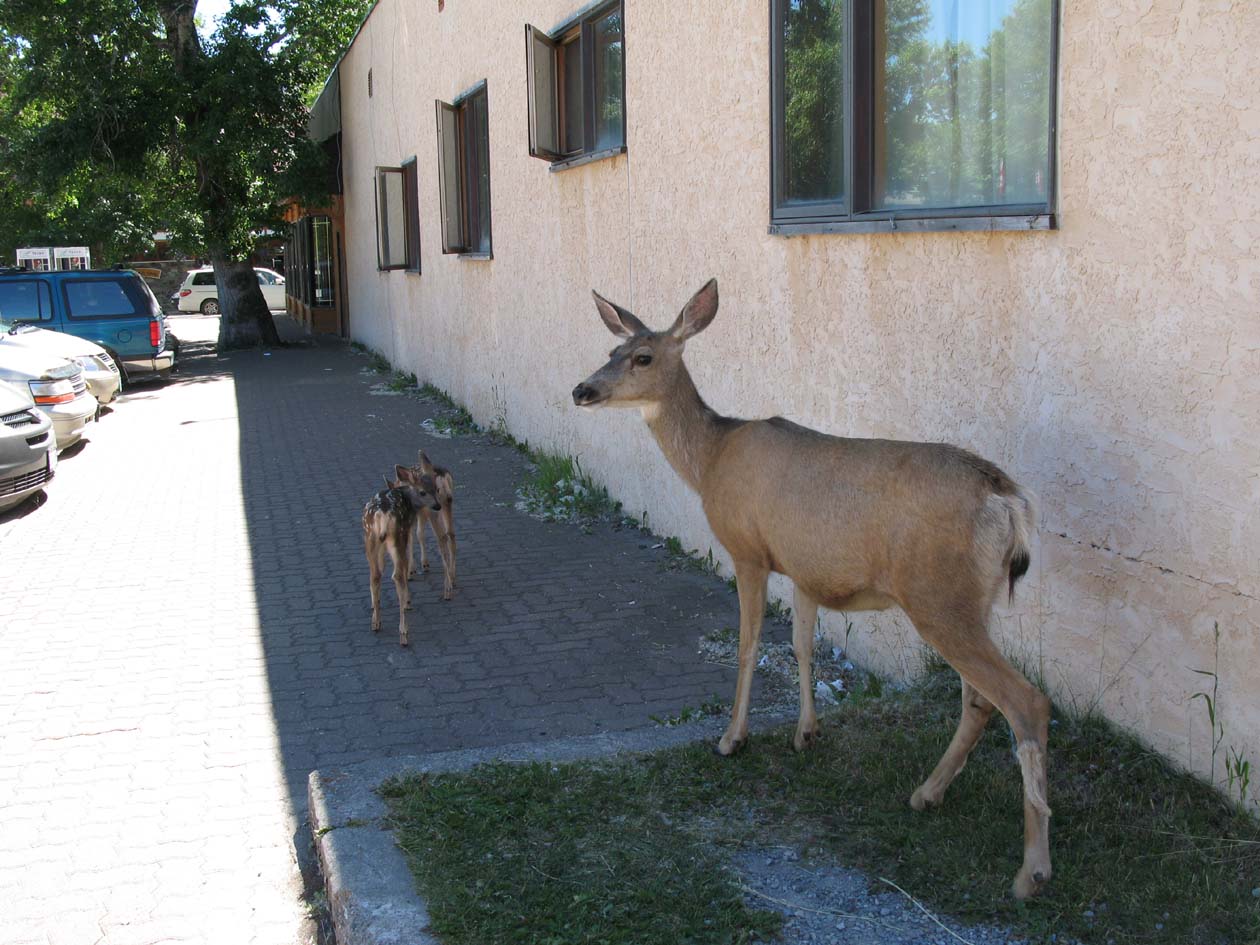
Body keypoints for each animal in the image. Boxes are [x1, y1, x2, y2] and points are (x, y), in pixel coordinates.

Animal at [577, 280, 1048, 902]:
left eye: (643, 357)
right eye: (611, 350)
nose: (582, 390)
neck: (710, 460)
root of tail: (1009, 501)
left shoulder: (748, 551)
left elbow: (749, 646)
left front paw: (732, 738)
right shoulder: (803, 567)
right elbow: (802, 645)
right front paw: (807, 733)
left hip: (937, 596)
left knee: (1025, 701)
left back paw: (1031, 871)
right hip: (972, 600)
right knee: (979, 700)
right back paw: (927, 794)